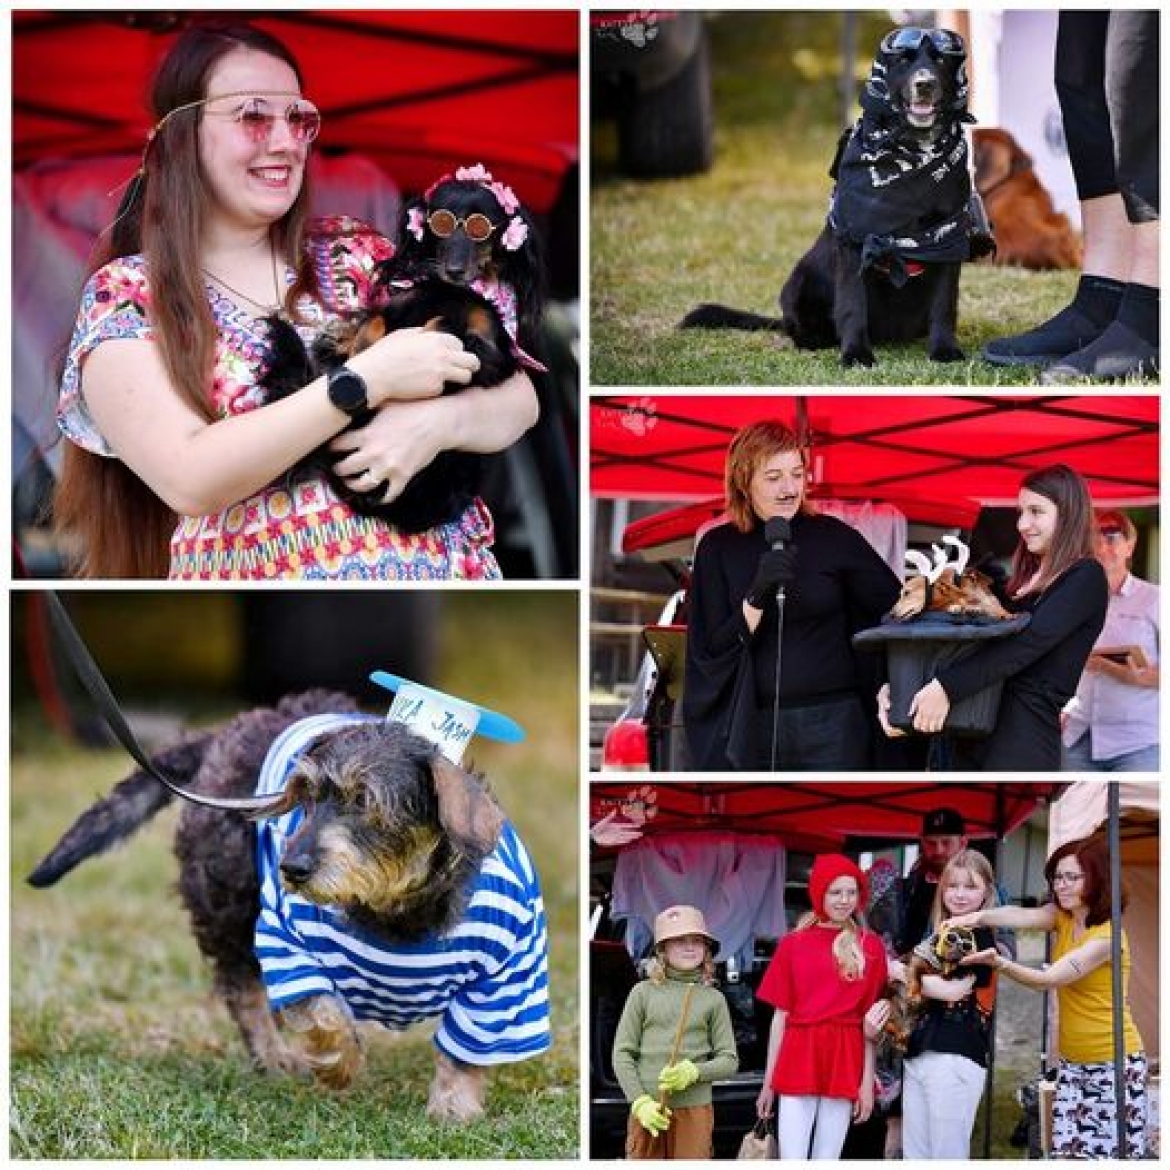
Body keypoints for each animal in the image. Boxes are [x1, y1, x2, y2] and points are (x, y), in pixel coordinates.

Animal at [260, 163, 542, 531]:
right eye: (441, 224)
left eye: (481, 228)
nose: (454, 270)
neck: (453, 292)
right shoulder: (403, 304)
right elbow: (375, 323)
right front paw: (352, 345)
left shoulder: (493, 353)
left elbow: (448, 329)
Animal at [683, 26, 992, 365]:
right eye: (903, 60)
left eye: (940, 60)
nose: (924, 84)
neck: (913, 152)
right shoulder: (854, 241)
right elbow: (853, 306)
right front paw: (855, 354)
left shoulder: (947, 238)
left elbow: (943, 305)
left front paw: (944, 349)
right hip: (798, 282)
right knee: (797, 327)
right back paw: (814, 339)